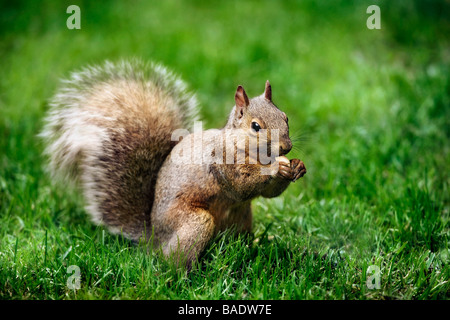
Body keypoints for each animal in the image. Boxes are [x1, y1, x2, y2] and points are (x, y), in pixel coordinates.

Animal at [41, 59, 306, 268]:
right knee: (171, 260)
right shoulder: (221, 163)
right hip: (193, 222)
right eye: (256, 126)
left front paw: (297, 165)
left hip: (241, 219)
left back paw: (256, 245)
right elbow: (241, 185)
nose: (286, 147)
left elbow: (269, 193)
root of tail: (154, 238)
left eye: (285, 117)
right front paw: (276, 168)